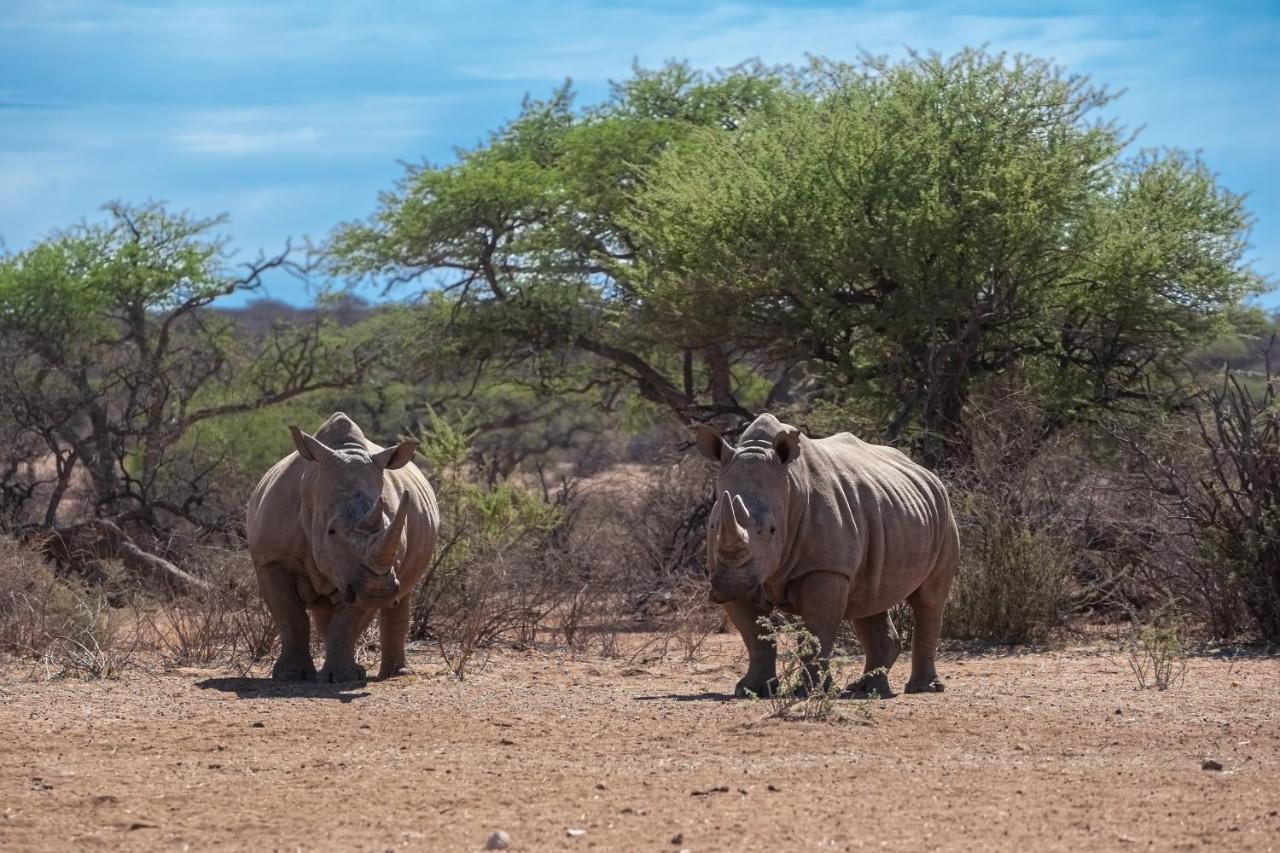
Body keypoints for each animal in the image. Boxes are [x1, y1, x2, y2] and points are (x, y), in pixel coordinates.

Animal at [247, 409, 437, 681]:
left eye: (389, 524)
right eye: (331, 531)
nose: (378, 592)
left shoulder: (369, 574)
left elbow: (348, 623)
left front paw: (343, 677)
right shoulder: (272, 559)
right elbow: (291, 617)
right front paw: (291, 675)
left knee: (403, 592)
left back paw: (396, 674)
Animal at [696, 412, 957, 696]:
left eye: (773, 530)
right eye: (712, 526)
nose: (732, 586)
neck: (791, 488)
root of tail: (926, 472)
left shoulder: (825, 568)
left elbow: (818, 628)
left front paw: (809, 692)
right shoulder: (729, 569)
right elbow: (755, 637)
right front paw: (752, 690)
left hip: (944, 512)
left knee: (929, 599)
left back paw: (923, 688)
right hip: (886, 508)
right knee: (869, 599)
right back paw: (866, 690)